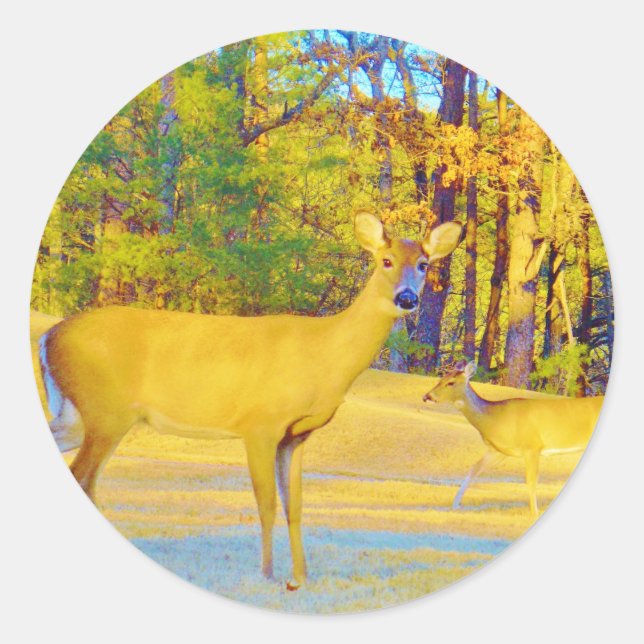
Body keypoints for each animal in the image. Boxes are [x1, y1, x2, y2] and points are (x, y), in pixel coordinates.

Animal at [39, 211, 462, 590]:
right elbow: (267, 502)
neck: (325, 357)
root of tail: (48, 336)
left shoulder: (297, 435)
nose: (406, 298)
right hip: (106, 411)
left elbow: (295, 506)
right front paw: (268, 574)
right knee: (84, 477)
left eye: (423, 264)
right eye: (386, 260)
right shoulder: (260, 424)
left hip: (78, 414)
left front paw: (301, 577)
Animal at [422, 361, 603, 516]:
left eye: (451, 383)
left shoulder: (532, 446)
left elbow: (531, 480)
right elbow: (474, 469)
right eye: (440, 379)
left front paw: (534, 512)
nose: (427, 397)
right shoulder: (498, 451)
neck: (496, 420)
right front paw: (455, 505)